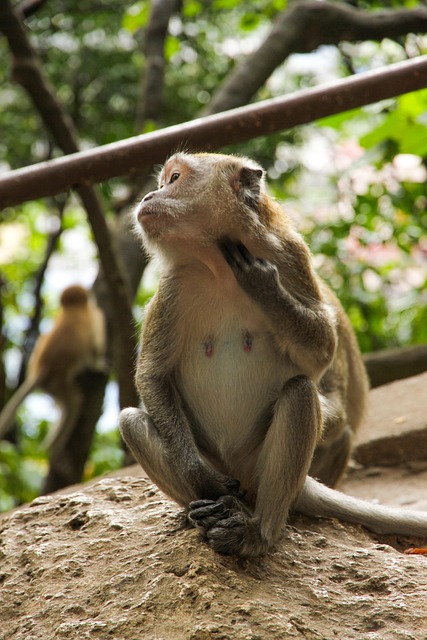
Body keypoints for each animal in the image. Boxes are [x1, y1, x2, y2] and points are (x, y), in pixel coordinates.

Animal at [0, 285, 106, 453]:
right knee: (74, 402)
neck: (73, 308)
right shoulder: (97, 317)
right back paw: (53, 446)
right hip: (58, 380)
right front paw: (98, 365)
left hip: (51, 384)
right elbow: (95, 350)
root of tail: (42, 367)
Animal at [120, 152, 427, 557]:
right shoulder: (174, 285)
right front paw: (196, 474)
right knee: (131, 421)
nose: (147, 196)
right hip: (223, 467)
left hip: (262, 470)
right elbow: (152, 374)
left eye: (173, 179)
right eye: (163, 180)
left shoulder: (291, 255)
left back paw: (257, 532)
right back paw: (206, 508)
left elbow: (322, 349)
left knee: (299, 393)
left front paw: (263, 286)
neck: (217, 265)